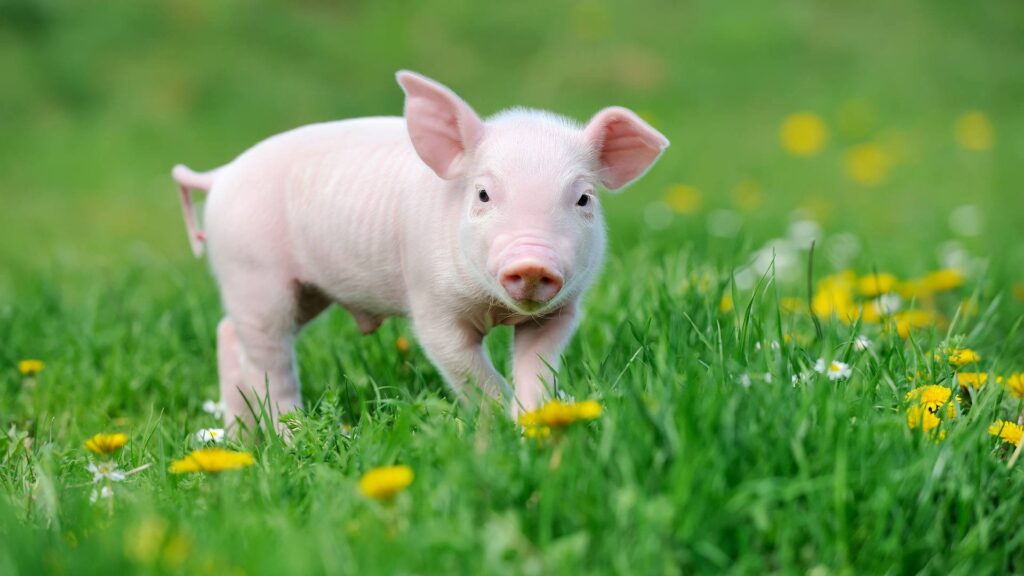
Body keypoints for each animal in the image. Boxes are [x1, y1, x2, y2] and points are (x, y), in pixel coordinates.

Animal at [172, 71, 668, 428]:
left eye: (583, 199)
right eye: (483, 194)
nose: (532, 262)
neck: (495, 309)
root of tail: (220, 174)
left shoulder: (561, 310)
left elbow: (536, 367)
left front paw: (536, 423)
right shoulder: (432, 306)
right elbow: (470, 372)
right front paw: (500, 429)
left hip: (301, 290)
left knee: (229, 335)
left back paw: (240, 441)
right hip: (252, 272)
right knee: (267, 360)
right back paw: (290, 435)